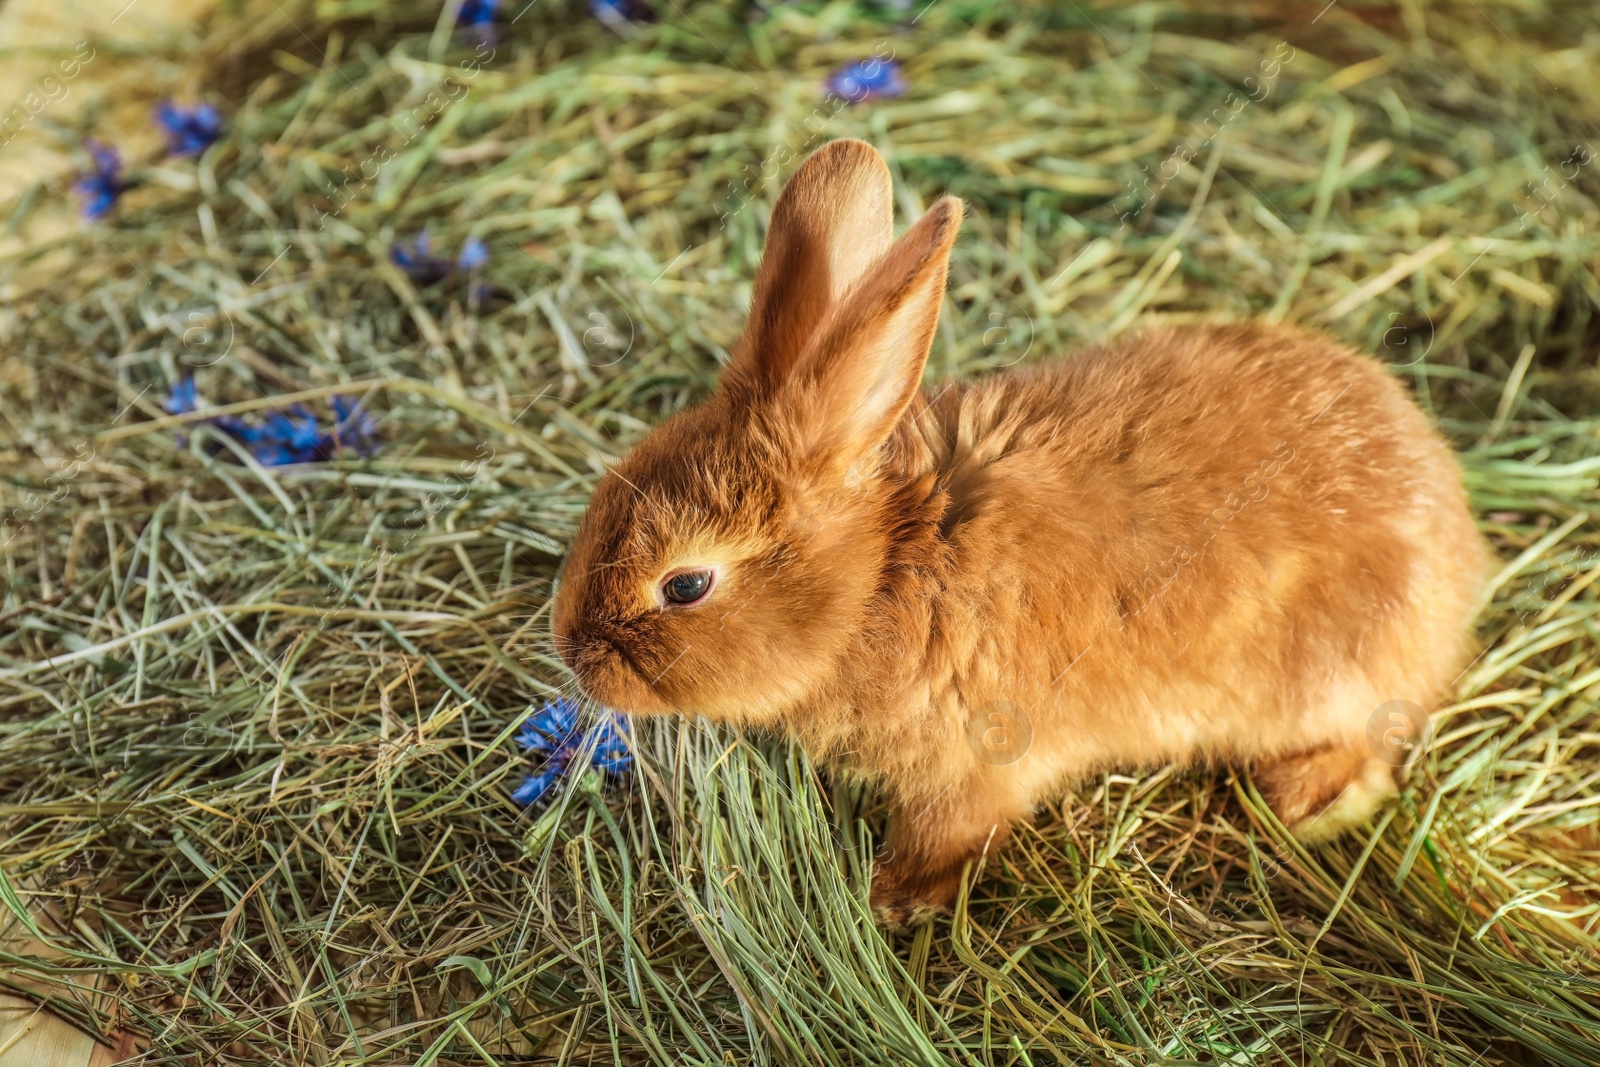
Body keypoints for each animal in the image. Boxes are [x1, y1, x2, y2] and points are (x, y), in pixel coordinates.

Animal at [556, 137, 1491, 927]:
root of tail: (1456, 543)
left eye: (685, 584)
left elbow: (953, 829)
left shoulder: (973, 761)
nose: (573, 651)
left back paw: (1302, 799)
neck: (884, 570)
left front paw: (894, 898)